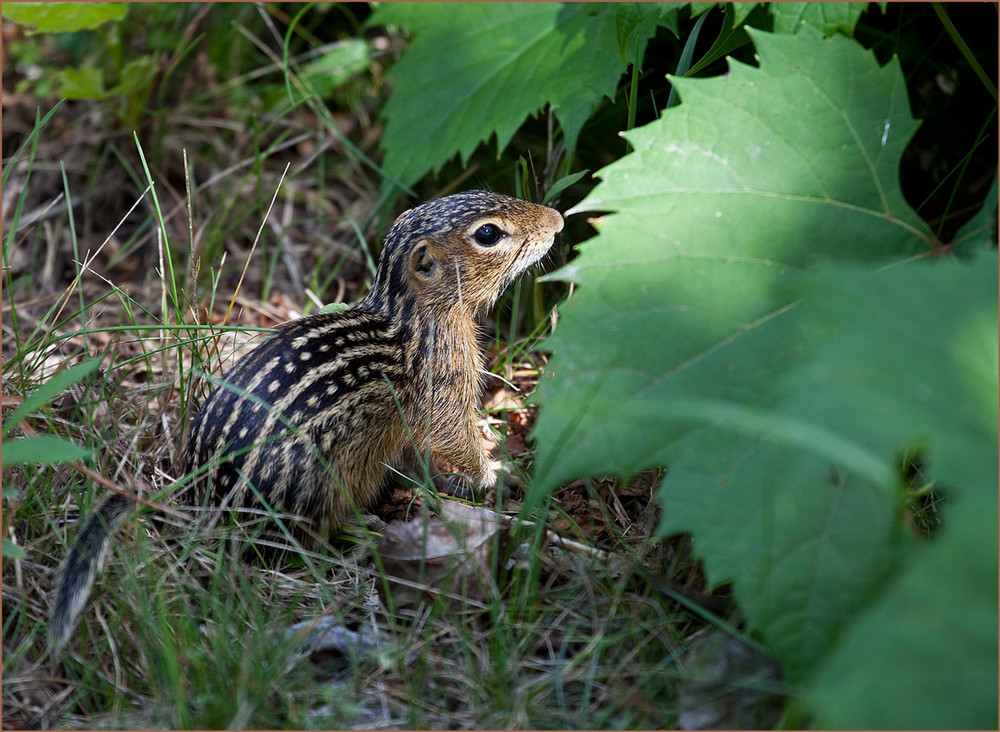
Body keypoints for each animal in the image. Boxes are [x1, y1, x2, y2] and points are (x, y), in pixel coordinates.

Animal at [48, 190, 564, 652]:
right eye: (488, 233)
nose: (557, 220)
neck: (410, 316)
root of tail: (197, 502)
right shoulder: (442, 387)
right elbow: (455, 438)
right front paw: (494, 473)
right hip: (316, 488)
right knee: (301, 542)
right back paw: (363, 531)